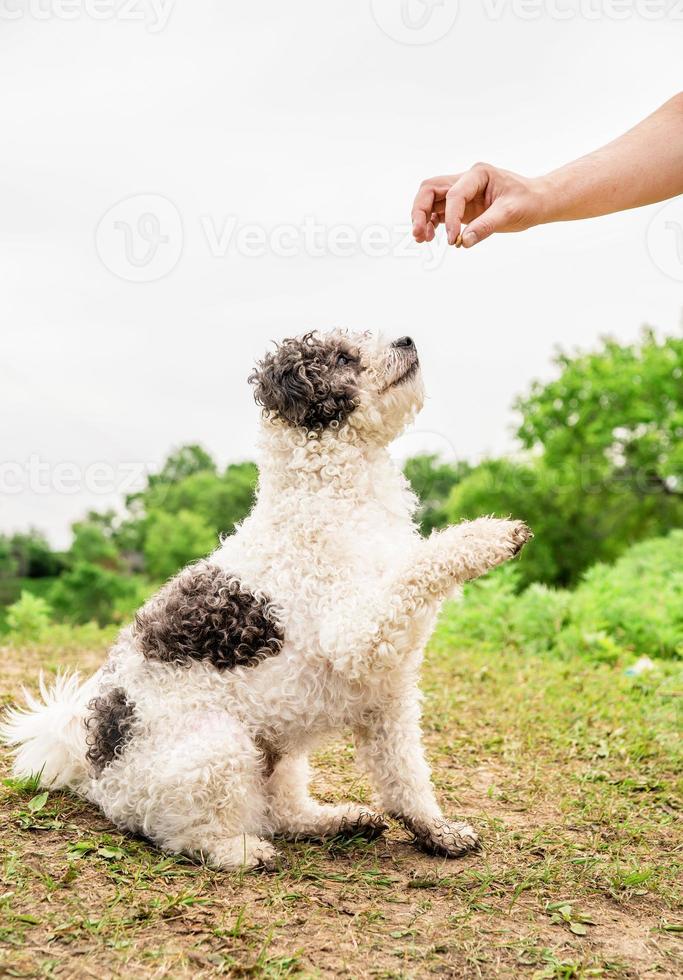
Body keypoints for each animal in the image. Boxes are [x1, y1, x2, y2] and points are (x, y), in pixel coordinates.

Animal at [1, 334, 536, 868]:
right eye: (342, 357)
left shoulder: (388, 698)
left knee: (282, 811)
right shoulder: (356, 634)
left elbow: (406, 777)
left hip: (277, 756)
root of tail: (89, 761)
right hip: (218, 748)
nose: (407, 339)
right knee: (181, 834)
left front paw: (436, 831)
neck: (335, 496)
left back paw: (337, 820)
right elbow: (419, 564)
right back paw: (240, 850)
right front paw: (488, 534)